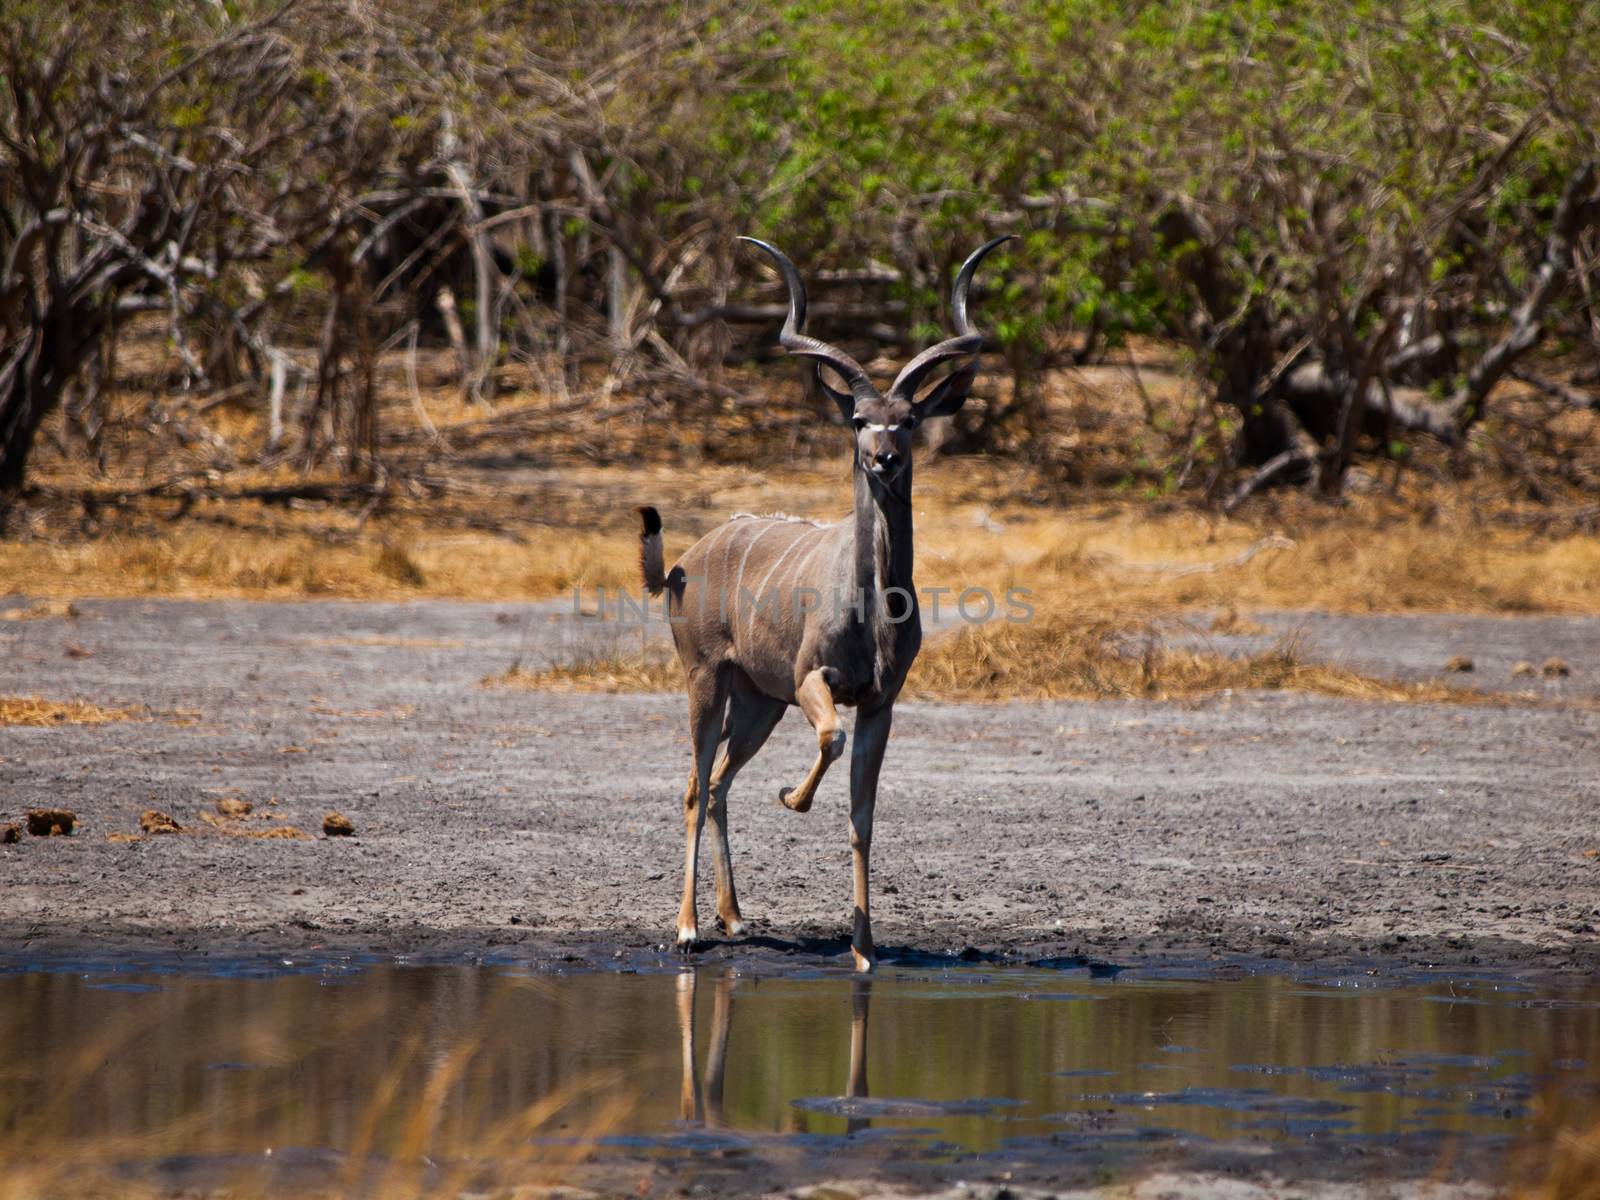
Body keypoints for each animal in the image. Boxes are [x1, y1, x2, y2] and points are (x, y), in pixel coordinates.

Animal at [636, 232, 1011, 966]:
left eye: (910, 419)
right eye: (860, 419)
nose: (882, 459)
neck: (873, 608)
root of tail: (682, 566)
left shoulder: (881, 702)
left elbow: (862, 815)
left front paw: (864, 949)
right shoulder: (818, 681)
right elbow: (830, 741)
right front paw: (791, 798)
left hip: (758, 702)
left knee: (718, 783)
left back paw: (733, 918)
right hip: (706, 679)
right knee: (695, 786)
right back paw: (689, 928)